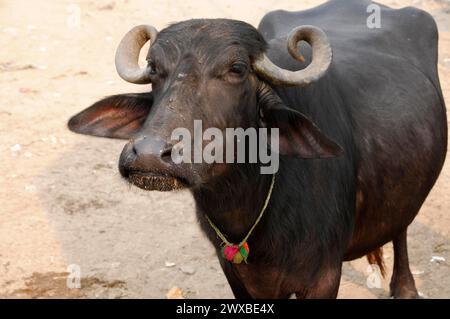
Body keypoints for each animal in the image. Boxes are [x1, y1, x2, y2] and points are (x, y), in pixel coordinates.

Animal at [68, 0, 448, 298]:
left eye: (236, 69)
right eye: (154, 69)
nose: (149, 155)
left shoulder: (325, 276)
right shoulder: (236, 273)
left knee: (401, 229)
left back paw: (405, 288)